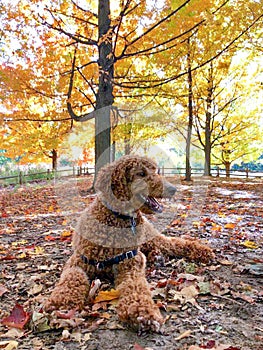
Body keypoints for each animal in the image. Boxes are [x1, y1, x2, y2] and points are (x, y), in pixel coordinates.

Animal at [44, 155, 214, 330]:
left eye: (156, 171)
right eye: (141, 173)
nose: (173, 189)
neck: (117, 218)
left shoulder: (130, 263)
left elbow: (135, 285)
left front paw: (142, 311)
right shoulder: (78, 261)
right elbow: (73, 278)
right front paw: (63, 302)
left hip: (150, 238)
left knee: (174, 243)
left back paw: (201, 251)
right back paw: (156, 257)